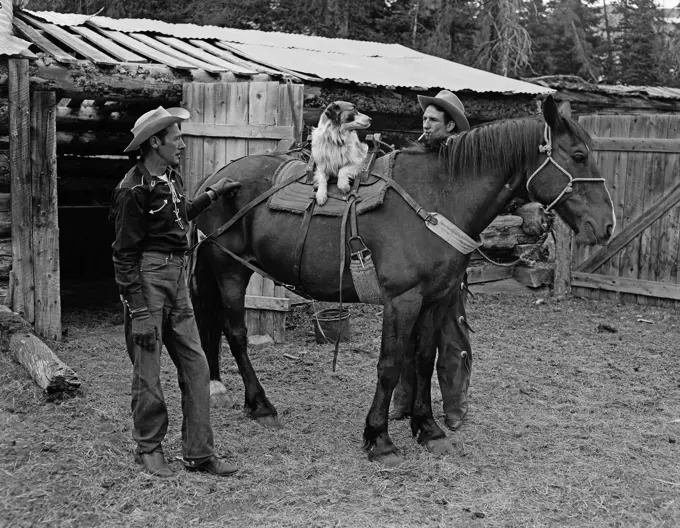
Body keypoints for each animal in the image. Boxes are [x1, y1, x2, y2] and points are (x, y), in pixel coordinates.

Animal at [189, 96, 612, 466]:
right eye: (578, 156)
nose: (606, 225)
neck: (438, 198)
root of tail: (215, 180)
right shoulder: (402, 299)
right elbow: (390, 364)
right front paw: (379, 438)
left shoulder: (435, 298)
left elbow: (424, 359)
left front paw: (428, 429)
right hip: (230, 269)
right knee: (235, 332)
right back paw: (260, 405)